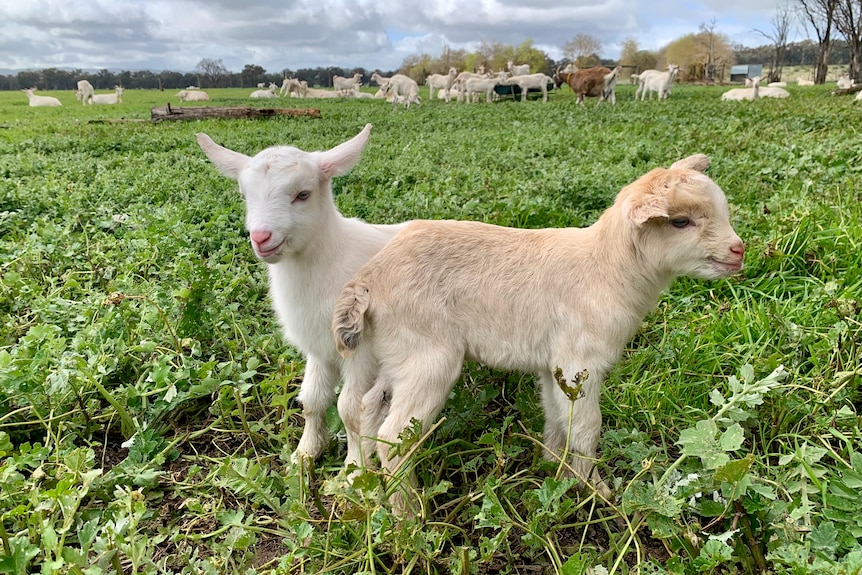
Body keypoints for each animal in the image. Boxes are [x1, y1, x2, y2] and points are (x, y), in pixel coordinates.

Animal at [197, 124, 406, 470]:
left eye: (303, 194)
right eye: (244, 195)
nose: (261, 237)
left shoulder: (362, 351)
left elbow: (351, 409)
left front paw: (354, 469)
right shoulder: (319, 347)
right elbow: (312, 400)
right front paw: (304, 454)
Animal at [334, 154, 744, 516]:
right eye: (680, 222)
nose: (738, 250)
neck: (606, 268)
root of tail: (367, 280)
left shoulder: (554, 367)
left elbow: (557, 417)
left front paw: (552, 470)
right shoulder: (581, 361)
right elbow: (586, 427)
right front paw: (595, 491)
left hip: (395, 353)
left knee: (366, 409)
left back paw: (364, 490)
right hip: (428, 357)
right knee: (393, 437)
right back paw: (409, 515)